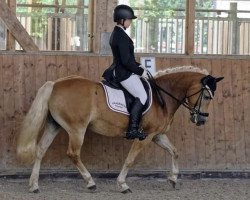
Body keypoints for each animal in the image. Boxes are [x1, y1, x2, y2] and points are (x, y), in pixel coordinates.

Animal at [17, 66, 224, 194]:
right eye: (207, 96)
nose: (201, 120)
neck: (162, 96)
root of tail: (55, 84)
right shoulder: (145, 137)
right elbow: (130, 159)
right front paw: (122, 184)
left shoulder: (157, 135)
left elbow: (174, 151)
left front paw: (173, 179)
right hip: (77, 129)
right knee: (73, 154)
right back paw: (90, 182)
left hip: (55, 125)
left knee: (40, 150)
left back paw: (34, 185)